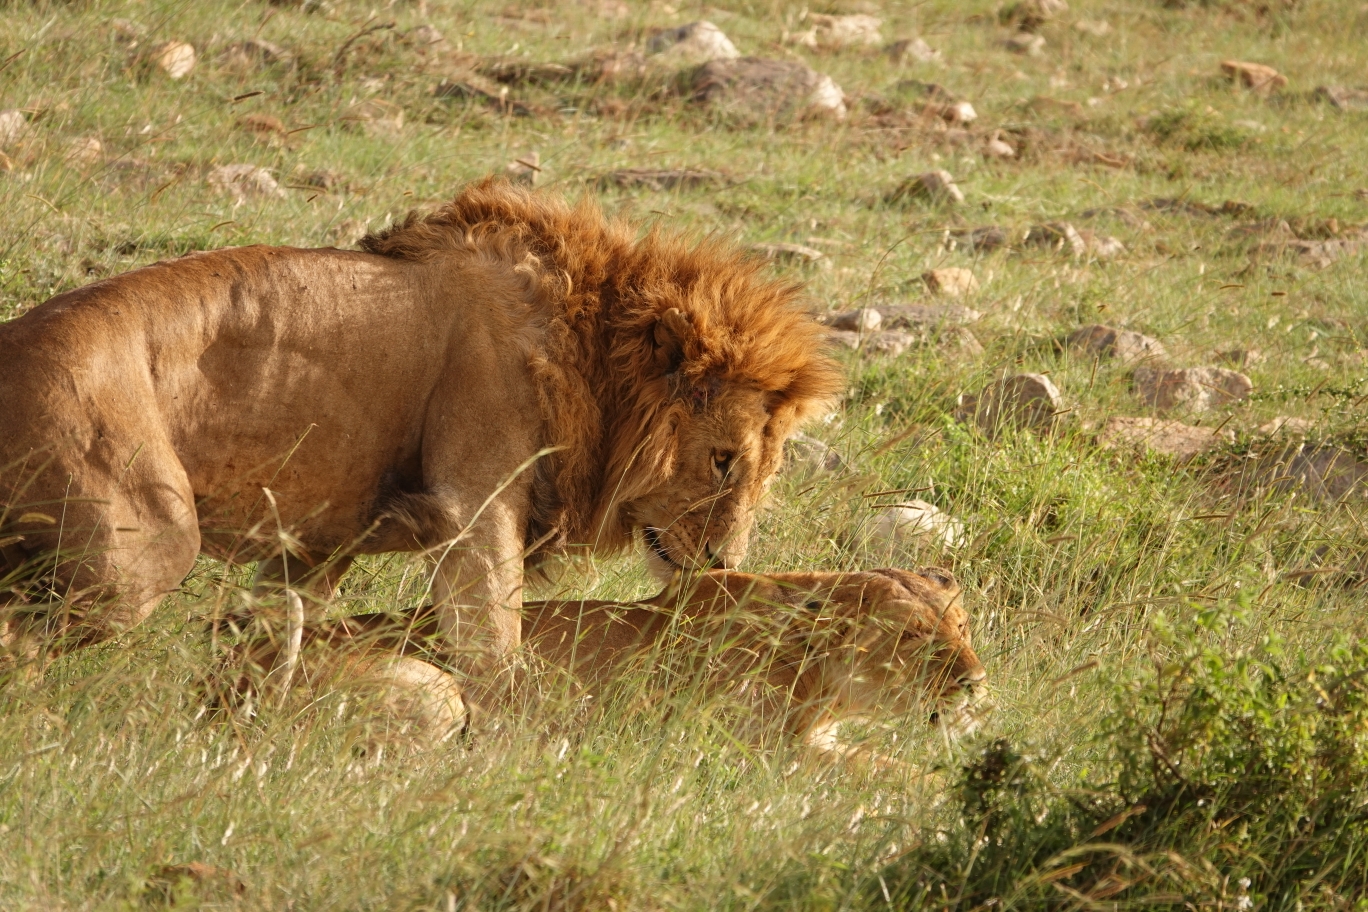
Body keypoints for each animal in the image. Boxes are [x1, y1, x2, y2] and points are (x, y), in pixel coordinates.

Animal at [0, 180, 837, 669]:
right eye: (723, 459)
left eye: (766, 471)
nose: (725, 563)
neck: (591, 350)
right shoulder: (477, 503)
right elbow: (493, 636)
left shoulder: (317, 544)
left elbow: (281, 622)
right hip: (143, 544)